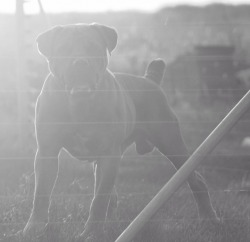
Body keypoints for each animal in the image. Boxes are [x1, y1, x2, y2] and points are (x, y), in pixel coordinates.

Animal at [23, 22, 219, 240]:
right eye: (63, 50)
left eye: (93, 48)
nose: (80, 62)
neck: (79, 104)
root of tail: (150, 80)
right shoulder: (47, 153)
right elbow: (41, 193)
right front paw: (34, 228)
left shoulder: (109, 155)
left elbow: (99, 199)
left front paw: (91, 233)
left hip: (172, 145)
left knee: (197, 181)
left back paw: (208, 219)